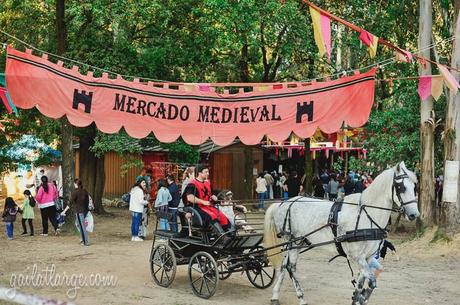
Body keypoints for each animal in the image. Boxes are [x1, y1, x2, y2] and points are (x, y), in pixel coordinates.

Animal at [266, 162, 420, 304]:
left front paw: (357, 298)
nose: (414, 214)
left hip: (297, 243)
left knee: (284, 265)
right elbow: (371, 283)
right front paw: (361, 297)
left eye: (414, 187)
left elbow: (361, 284)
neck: (366, 214)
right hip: (292, 241)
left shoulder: (368, 257)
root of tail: (283, 203)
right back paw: (301, 297)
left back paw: (275, 295)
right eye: (401, 187)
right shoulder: (357, 256)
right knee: (290, 267)